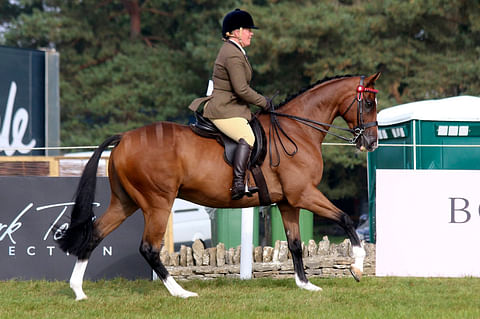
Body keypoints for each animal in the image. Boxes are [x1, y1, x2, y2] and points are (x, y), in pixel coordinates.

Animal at [57, 72, 378, 300]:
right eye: (368, 103)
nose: (371, 143)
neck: (298, 130)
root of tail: (124, 137)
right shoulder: (305, 194)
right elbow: (345, 219)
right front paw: (357, 267)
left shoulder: (289, 201)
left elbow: (296, 244)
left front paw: (305, 285)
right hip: (157, 202)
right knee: (149, 248)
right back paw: (181, 292)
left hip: (125, 202)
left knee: (94, 235)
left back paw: (78, 292)